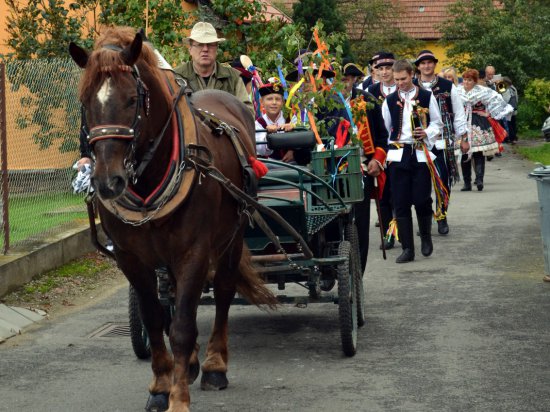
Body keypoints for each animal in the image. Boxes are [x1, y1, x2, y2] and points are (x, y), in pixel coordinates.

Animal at [69, 26, 276, 412]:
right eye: (85, 101)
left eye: (132, 100)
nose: (107, 181)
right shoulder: (130, 258)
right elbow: (155, 319)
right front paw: (161, 386)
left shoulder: (193, 252)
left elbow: (180, 326)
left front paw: (178, 398)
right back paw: (191, 363)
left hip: (232, 235)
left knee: (223, 291)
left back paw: (213, 364)